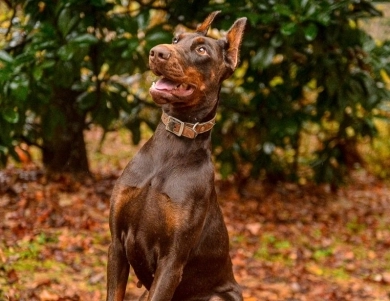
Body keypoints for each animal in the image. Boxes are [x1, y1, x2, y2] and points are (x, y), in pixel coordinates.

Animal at [106, 11, 247, 300]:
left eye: (202, 50)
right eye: (175, 39)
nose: (156, 52)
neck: (172, 146)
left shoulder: (172, 262)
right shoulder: (116, 246)